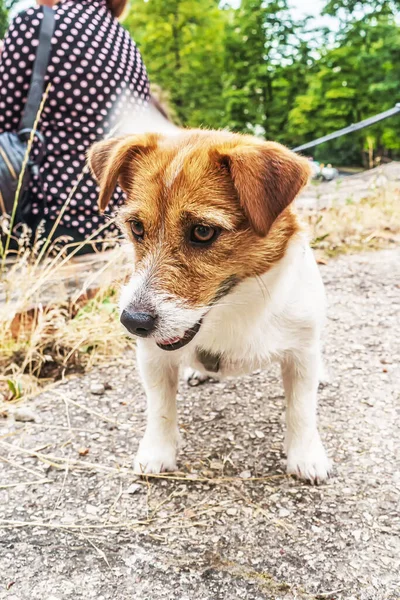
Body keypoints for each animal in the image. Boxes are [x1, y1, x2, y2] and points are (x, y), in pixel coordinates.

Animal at [89, 130, 332, 482]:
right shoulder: (152, 358)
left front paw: (306, 456)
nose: (133, 321)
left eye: (203, 232)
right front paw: (157, 452)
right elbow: (160, 409)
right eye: (136, 227)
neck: (230, 311)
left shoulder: (300, 355)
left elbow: (301, 409)